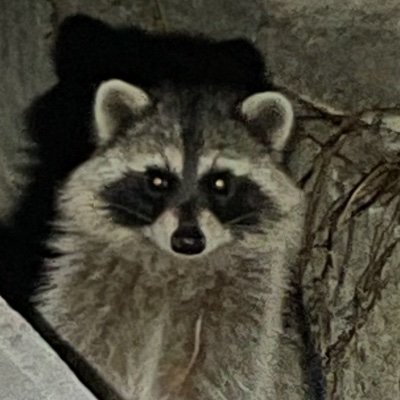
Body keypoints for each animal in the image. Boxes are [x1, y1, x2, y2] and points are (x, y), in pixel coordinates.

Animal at [32, 79, 308, 400]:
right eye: (158, 181)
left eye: (219, 183)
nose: (188, 241)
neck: (174, 263)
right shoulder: (88, 286)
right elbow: (82, 336)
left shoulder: (247, 312)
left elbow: (229, 375)